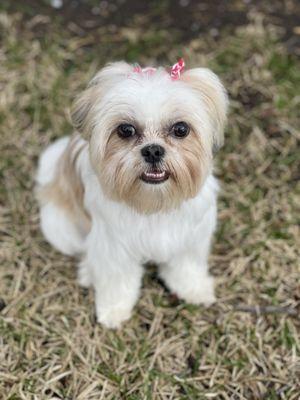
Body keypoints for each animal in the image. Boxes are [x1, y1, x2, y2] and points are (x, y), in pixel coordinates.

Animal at [35, 60, 227, 328]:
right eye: (125, 130)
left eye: (180, 129)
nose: (153, 150)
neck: (153, 202)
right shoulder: (113, 247)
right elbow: (117, 281)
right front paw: (113, 311)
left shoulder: (189, 237)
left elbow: (185, 267)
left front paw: (194, 290)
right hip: (60, 227)